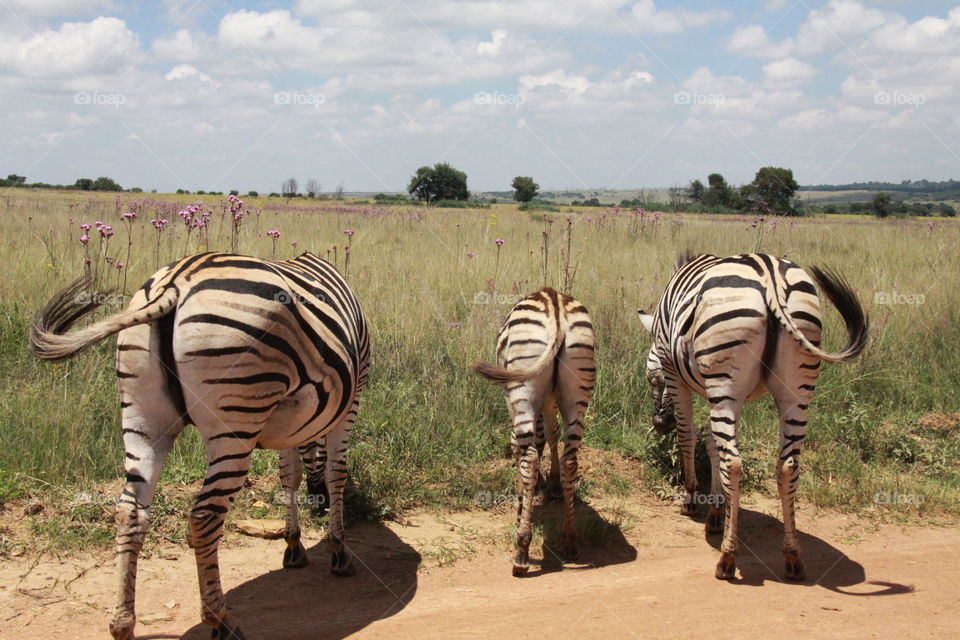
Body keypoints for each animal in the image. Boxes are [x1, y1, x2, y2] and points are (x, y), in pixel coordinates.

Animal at [28, 250, 368, 640]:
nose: (319, 505)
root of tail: (175, 283)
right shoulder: (352, 397)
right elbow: (335, 473)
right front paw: (338, 551)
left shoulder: (289, 425)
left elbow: (288, 477)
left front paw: (294, 544)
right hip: (235, 417)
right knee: (205, 517)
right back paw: (221, 620)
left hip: (143, 414)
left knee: (131, 510)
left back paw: (123, 622)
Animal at [470, 288, 592, 576]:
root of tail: (555, 302)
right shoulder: (549, 399)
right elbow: (551, 432)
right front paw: (554, 485)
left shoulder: (517, 402)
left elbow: (522, 445)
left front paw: (521, 499)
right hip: (577, 391)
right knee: (571, 459)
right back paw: (570, 540)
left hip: (522, 388)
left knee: (530, 458)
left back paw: (522, 551)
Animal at [636, 252, 872, 584]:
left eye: (652, 378)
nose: (660, 425)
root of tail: (769, 274)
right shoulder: (726, 394)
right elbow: (712, 446)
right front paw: (717, 511)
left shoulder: (677, 375)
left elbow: (688, 438)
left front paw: (692, 501)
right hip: (796, 387)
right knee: (787, 465)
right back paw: (792, 558)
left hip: (727, 378)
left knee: (734, 463)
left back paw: (727, 558)